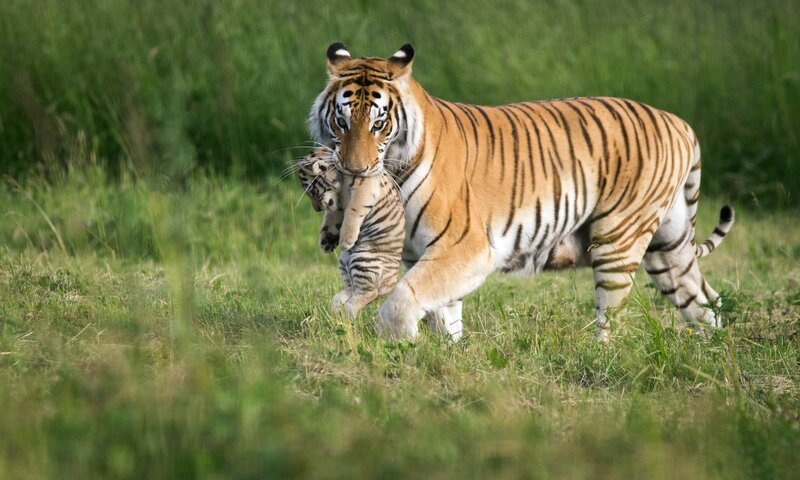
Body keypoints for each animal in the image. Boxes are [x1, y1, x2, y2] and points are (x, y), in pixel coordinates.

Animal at [297, 147, 406, 319]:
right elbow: (331, 217)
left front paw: (345, 240)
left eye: (313, 192)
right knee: (352, 289)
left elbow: (353, 211)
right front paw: (326, 241)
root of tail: (392, 281)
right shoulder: (337, 205)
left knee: (369, 292)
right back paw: (337, 308)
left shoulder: (365, 188)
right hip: (345, 261)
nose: (317, 209)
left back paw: (347, 312)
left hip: (364, 260)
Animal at [308, 42, 735, 343]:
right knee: (705, 302)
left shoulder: (465, 248)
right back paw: (713, 349)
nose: (355, 170)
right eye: (342, 122)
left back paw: (599, 354)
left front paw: (398, 342)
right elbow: (441, 311)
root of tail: (676, 121)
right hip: (668, 246)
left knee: (612, 317)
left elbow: (402, 299)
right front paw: (447, 351)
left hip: (619, 238)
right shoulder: (424, 254)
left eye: (379, 124)